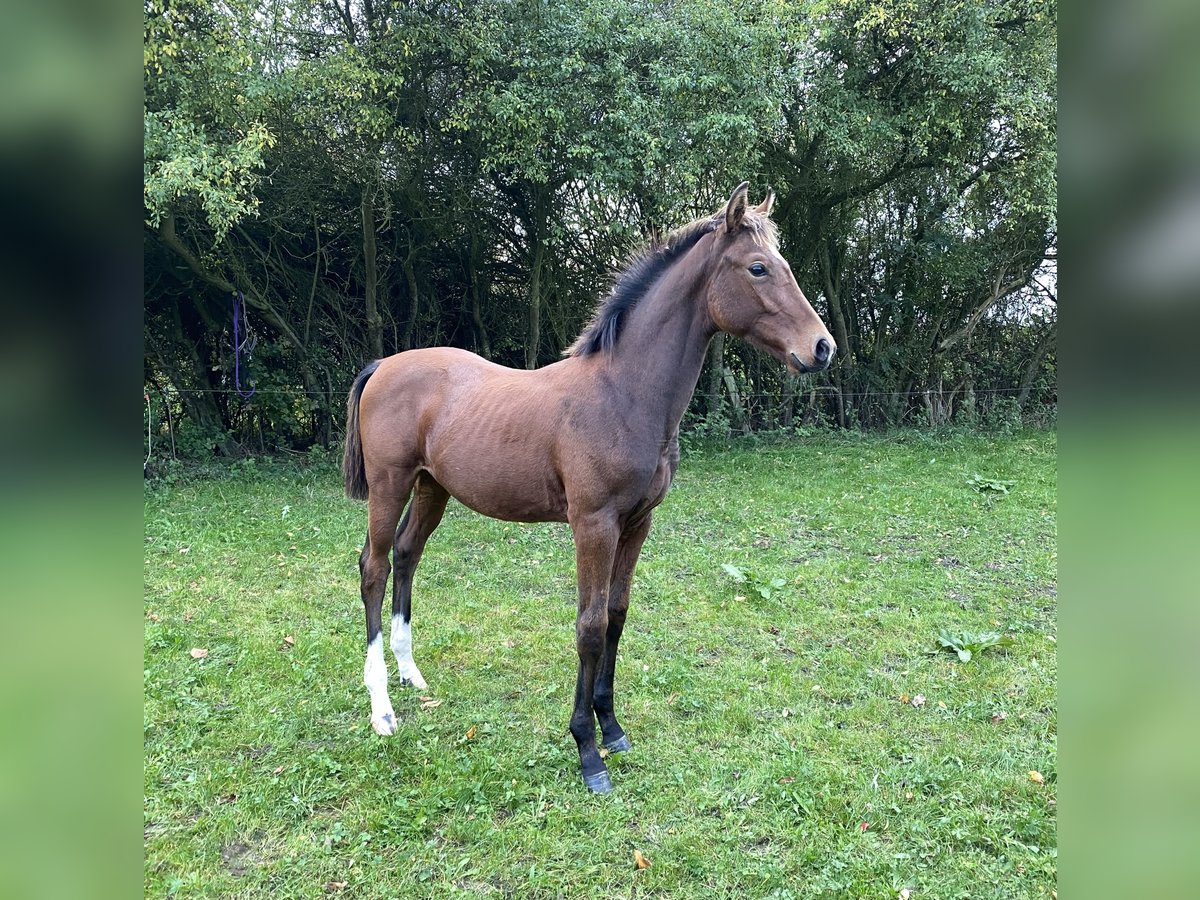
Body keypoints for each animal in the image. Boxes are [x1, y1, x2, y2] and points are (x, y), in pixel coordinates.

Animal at [343, 183, 835, 796]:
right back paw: (381, 708)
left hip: (433, 488)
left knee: (408, 555)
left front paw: (612, 727)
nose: (822, 347)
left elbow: (618, 615)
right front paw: (587, 750)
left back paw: (412, 673)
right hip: (390, 485)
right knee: (375, 567)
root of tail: (384, 365)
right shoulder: (593, 524)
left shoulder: (638, 522)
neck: (622, 393)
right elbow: (591, 626)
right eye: (758, 267)